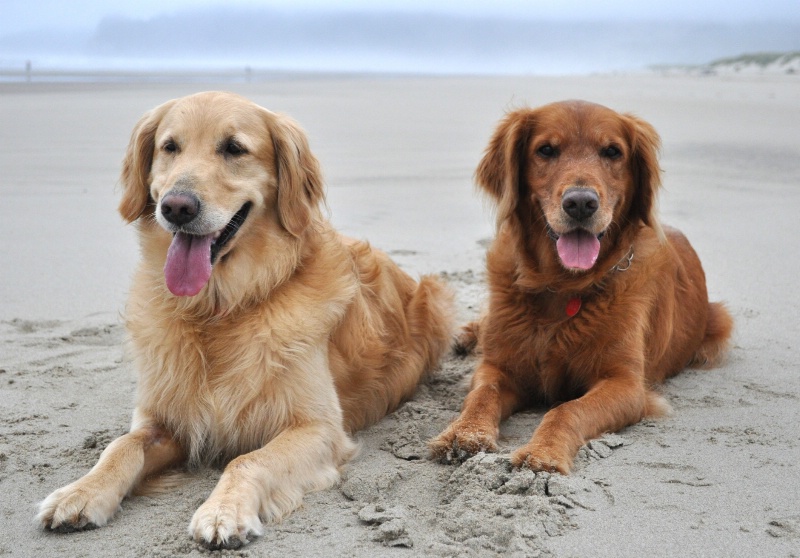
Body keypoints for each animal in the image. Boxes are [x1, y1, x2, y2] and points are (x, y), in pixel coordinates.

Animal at [40, 92, 454, 552]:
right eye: (170, 147)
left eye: (234, 148)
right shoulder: (163, 417)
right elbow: (121, 446)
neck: (220, 307)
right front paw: (80, 492)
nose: (176, 207)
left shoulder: (319, 427)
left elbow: (248, 458)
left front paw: (223, 511)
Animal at [432, 101, 732, 476]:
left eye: (612, 151)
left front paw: (543, 452)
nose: (580, 203)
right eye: (546, 150)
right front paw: (464, 433)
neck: (562, 285)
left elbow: (566, 409)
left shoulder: (625, 384)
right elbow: (481, 394)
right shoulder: (499, 366)